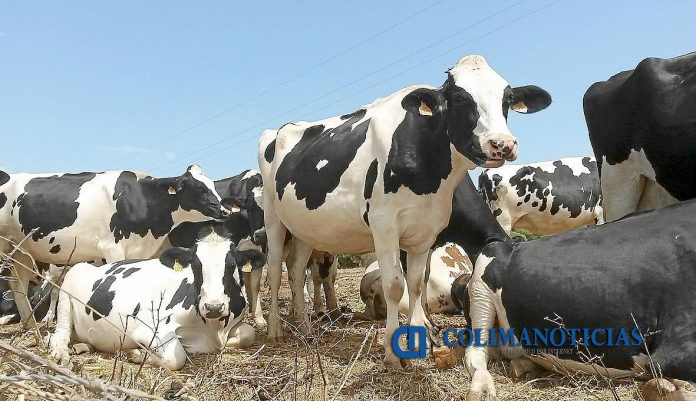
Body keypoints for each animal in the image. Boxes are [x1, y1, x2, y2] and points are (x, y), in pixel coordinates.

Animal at [0, 165, 231, 324]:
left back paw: (30, 324)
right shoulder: (112, 249)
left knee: (18, 285)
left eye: (212, 184)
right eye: (198, 187)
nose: (225, 210)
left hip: (21, 251)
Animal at [49, 226, 266, 370]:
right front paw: (137, 353)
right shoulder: (149, 328)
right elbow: (175, 358)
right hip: (66, 289)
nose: (213, 307)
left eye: (232, 265)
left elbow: (249, 334)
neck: (214, 329)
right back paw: (61, 353)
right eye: (195, 265)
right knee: (58, 334)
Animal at [258, 54, 551, 368]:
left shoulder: (426, 232)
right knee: (274, 271)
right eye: (460, 98)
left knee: (296, 271)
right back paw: (275, 330)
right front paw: (392, 351)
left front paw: (422, 336)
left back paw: (304, 326)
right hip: (273, 219)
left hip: (304, 229)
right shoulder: (385, 226)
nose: (502, 144)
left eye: (506, 99)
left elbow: (416, 284)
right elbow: (395, 286)